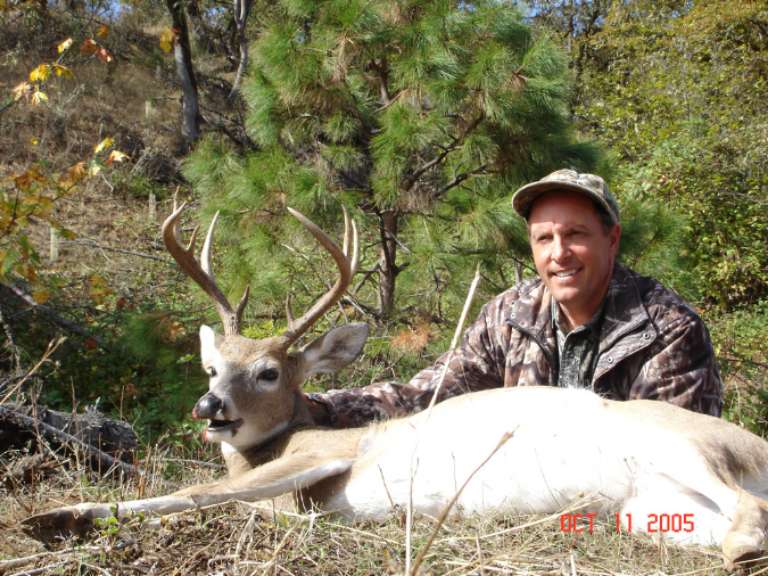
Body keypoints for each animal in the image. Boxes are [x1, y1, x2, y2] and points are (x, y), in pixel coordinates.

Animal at [23, 204, 768, 571]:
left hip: (677, 443)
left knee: (750, 513)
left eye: (268, 371)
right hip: (653, 509)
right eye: (211, 367)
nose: (210, 409)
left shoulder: (321, 458)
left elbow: (204, 493)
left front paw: (58, 517)